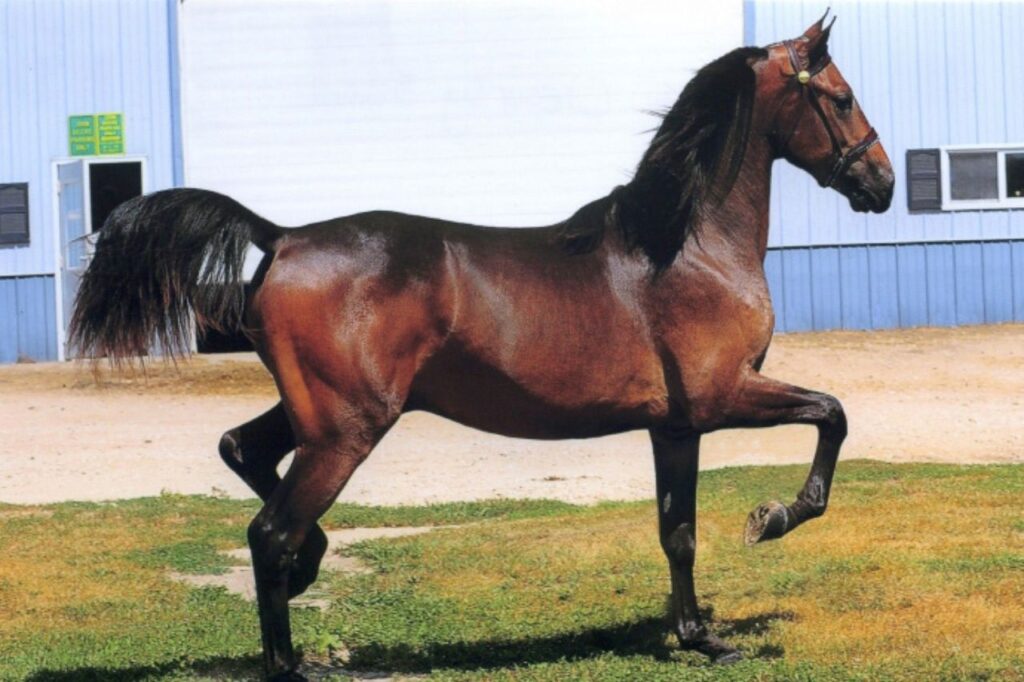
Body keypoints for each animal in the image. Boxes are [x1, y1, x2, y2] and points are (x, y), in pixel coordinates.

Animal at [70, 14, 893, 680]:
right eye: (841, 98)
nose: (880, 183)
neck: (684, 246)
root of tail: (284, 236)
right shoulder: (723, 397)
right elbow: (833, 415)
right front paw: (776, 517)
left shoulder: (676, 425)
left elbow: (678, 533)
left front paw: (699, 637)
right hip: (345, 429)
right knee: (270, 531)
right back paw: (290, 657)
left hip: (321, 415)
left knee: (242, 452)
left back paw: (312, 566)